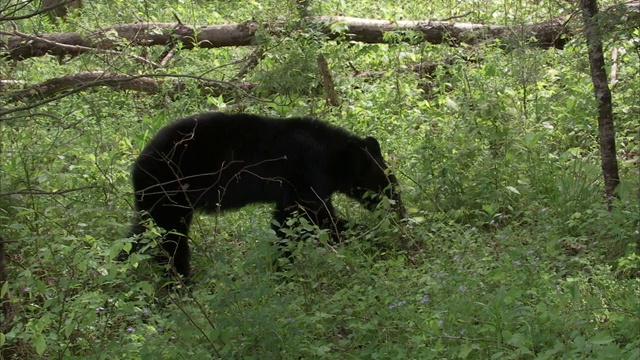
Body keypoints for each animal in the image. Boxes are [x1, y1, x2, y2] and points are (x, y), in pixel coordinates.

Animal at [125, 112, 404, 278]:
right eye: (388, 187)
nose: (400, 212)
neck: (333, 155)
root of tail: (138, 163)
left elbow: (287, 221)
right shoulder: (306, 169)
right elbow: (312, 217)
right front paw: (375, 239)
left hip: (155, 198)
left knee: (140, 232)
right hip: (169, 188)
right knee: (170, 238)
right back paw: (180, 279)